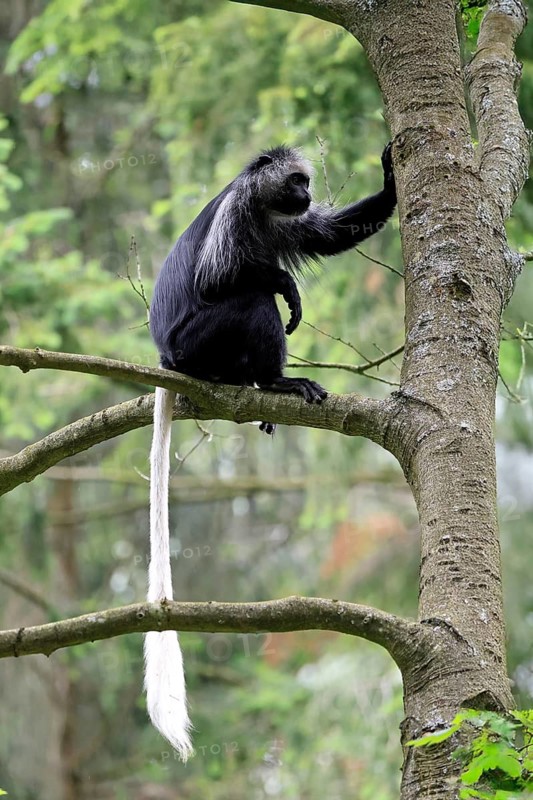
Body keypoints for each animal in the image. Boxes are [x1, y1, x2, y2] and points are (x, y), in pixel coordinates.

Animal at [144, 143, 396, 759]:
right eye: (297, 181)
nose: (305, 194)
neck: (264, 207)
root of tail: (166, 358)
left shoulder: (284, 223)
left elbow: (328, 235)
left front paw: (390, 173)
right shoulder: (238, 215)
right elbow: (222, 278)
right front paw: (286, 283)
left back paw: (259, 390)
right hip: (200, 341)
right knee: (251, 300)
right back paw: (279, 380)